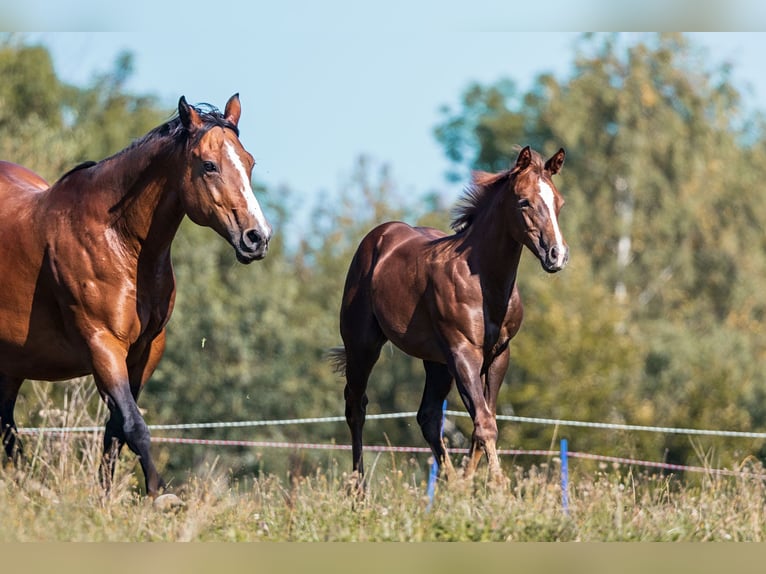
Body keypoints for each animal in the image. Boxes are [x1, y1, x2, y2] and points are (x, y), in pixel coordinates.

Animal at [0, 94, 272, 500]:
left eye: (249, 162)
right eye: (209, 165)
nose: (257, 237)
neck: (117, 239)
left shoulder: (146, 349)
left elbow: (115, 430)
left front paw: (106, 497)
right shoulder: (103, 345)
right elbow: (133, 425)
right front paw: (161, 495)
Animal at [332, 145, 568, 486]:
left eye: (559, 202)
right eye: (524, 201)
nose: (557, 255)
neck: (485, 282)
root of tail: (378, 238)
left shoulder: (499, 354)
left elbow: (482, 423)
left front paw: (469, 487)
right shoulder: (463, 352)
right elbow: (485, 423)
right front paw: (498, 487)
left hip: (437, 362)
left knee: (428, 416)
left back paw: (452, 485)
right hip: (362, 345)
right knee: (356, 407)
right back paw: (358, 489)